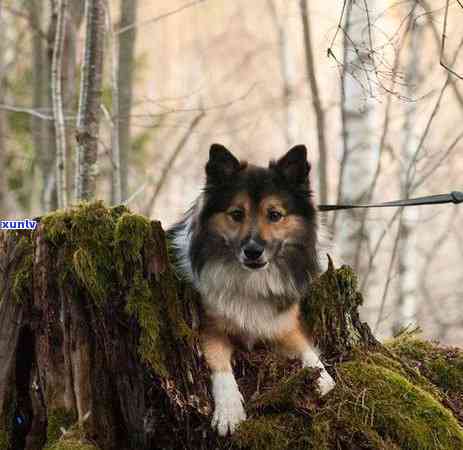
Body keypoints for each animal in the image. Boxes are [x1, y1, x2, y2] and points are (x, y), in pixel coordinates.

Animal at [169, 143, 336, 436]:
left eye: (275, 215)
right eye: (237, 214)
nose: (253, 251)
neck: (251, 279)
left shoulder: (283, 325)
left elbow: (307, 350)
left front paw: (324, 378)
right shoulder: (208, 329)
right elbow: (220, 365)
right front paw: (229, 410)